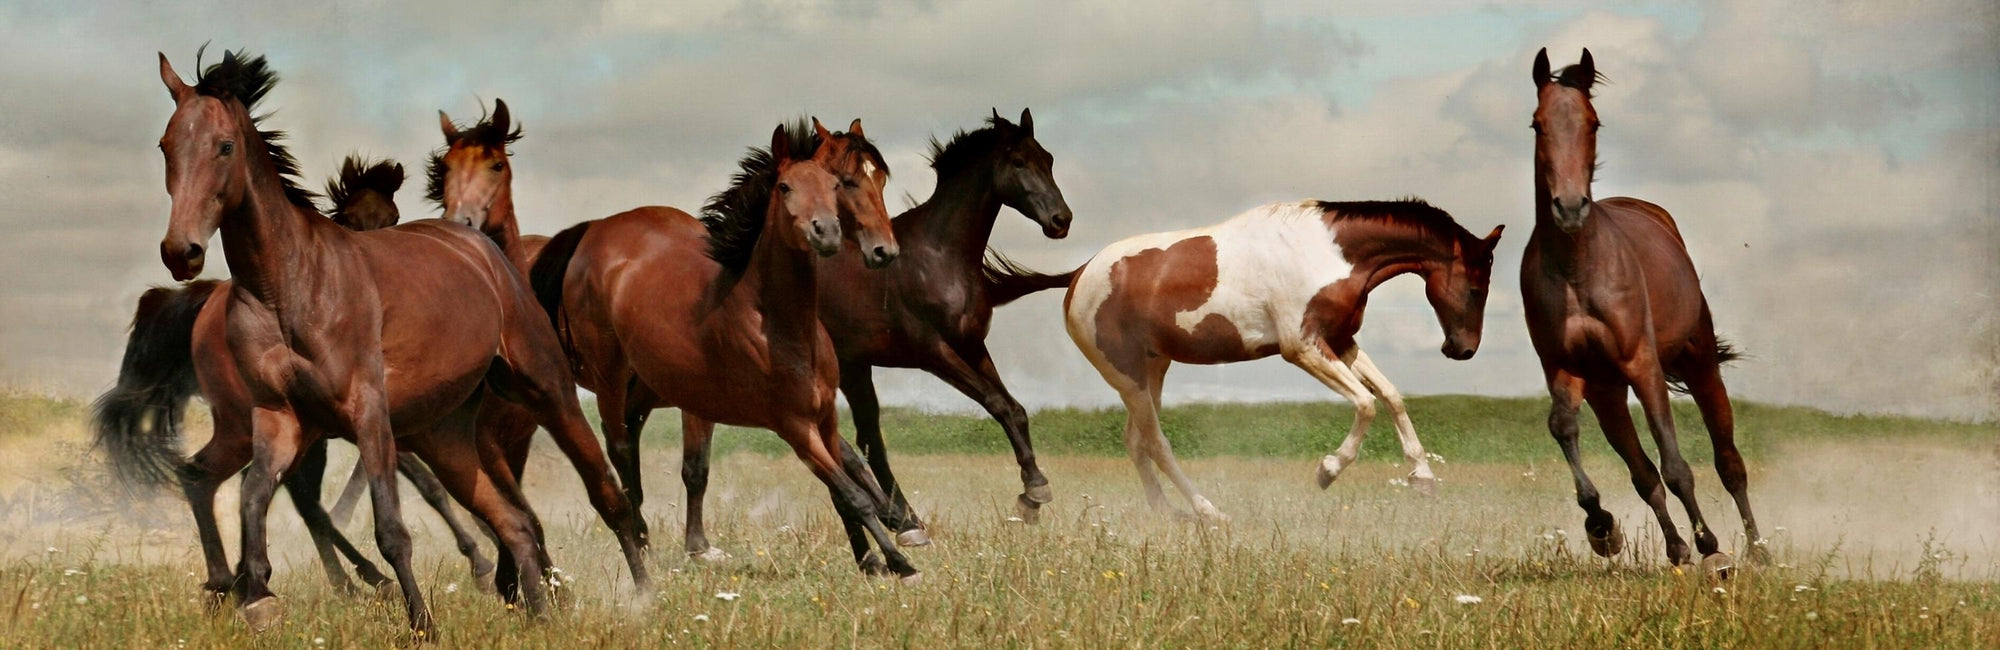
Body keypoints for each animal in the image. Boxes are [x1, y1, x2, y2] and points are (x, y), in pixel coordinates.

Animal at [96, 153, 500, 598]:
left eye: (393, 216)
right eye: (351, 220)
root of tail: (203, 304)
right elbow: (428, 485)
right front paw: (479, 560)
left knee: (278, 491)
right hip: (265, 425)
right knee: (293, 496)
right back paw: (355, 579)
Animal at [530, 121, 922, 582]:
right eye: (846, 181)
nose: (883, 250)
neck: (778, 324)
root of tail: (594, 233)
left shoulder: (820, 418)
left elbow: (847, 478)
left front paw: (878, 552)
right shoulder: (792, 425)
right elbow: (848, 491)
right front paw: (897, 558)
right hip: (610, 379)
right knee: (620, 451)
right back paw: (642, 544)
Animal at [1064, 200, 1502, 519]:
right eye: (1476, 288)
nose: (1462, 349)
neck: (1328, 253)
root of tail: (1079, 275)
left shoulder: (1339, 341)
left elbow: (1391, 396)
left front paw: (1423, 477)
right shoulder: (1302, 347)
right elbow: (1366, 403)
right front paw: (1327, 471)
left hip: (1152, 369)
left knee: (1136, 441)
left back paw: (1167, 514)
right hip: (1128, 378)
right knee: (1156, 443)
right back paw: (1209, 512)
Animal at [1522, 48, 1760, 572]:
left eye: (1592, 122)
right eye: (1537, 124)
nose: (1570, 207)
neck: (1577, 268)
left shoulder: (1642, 363)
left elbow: (1676, 464)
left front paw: (1711, 546)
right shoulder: (1566, 369)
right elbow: (1565, 429)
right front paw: (1602, 528)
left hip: (1699, 364)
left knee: (1729, 462)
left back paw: (1757, 550)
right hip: (1608, 392)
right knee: (1642, 471)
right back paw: (1675, 548)